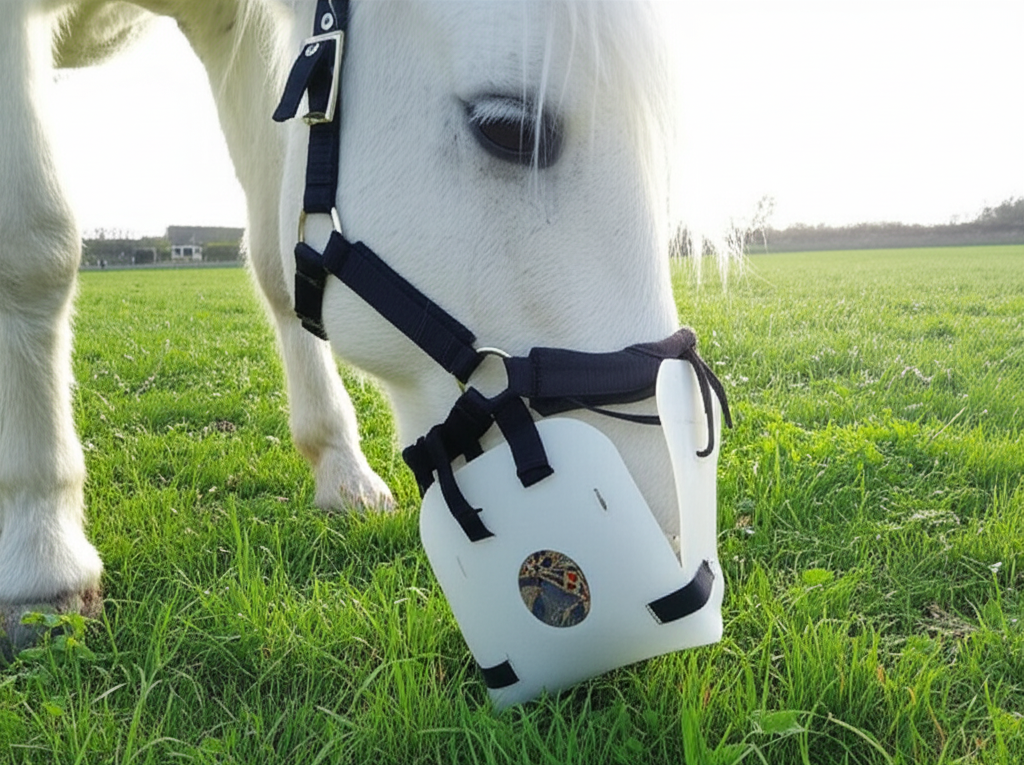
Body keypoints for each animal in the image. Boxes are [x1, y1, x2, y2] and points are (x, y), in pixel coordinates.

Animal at [0, 0, 711, 662]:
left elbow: (277, 258)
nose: (667, 533)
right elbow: (32, 253)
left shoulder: (238, 29)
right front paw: (40, 557)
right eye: (506, 128)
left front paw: (341, 472)